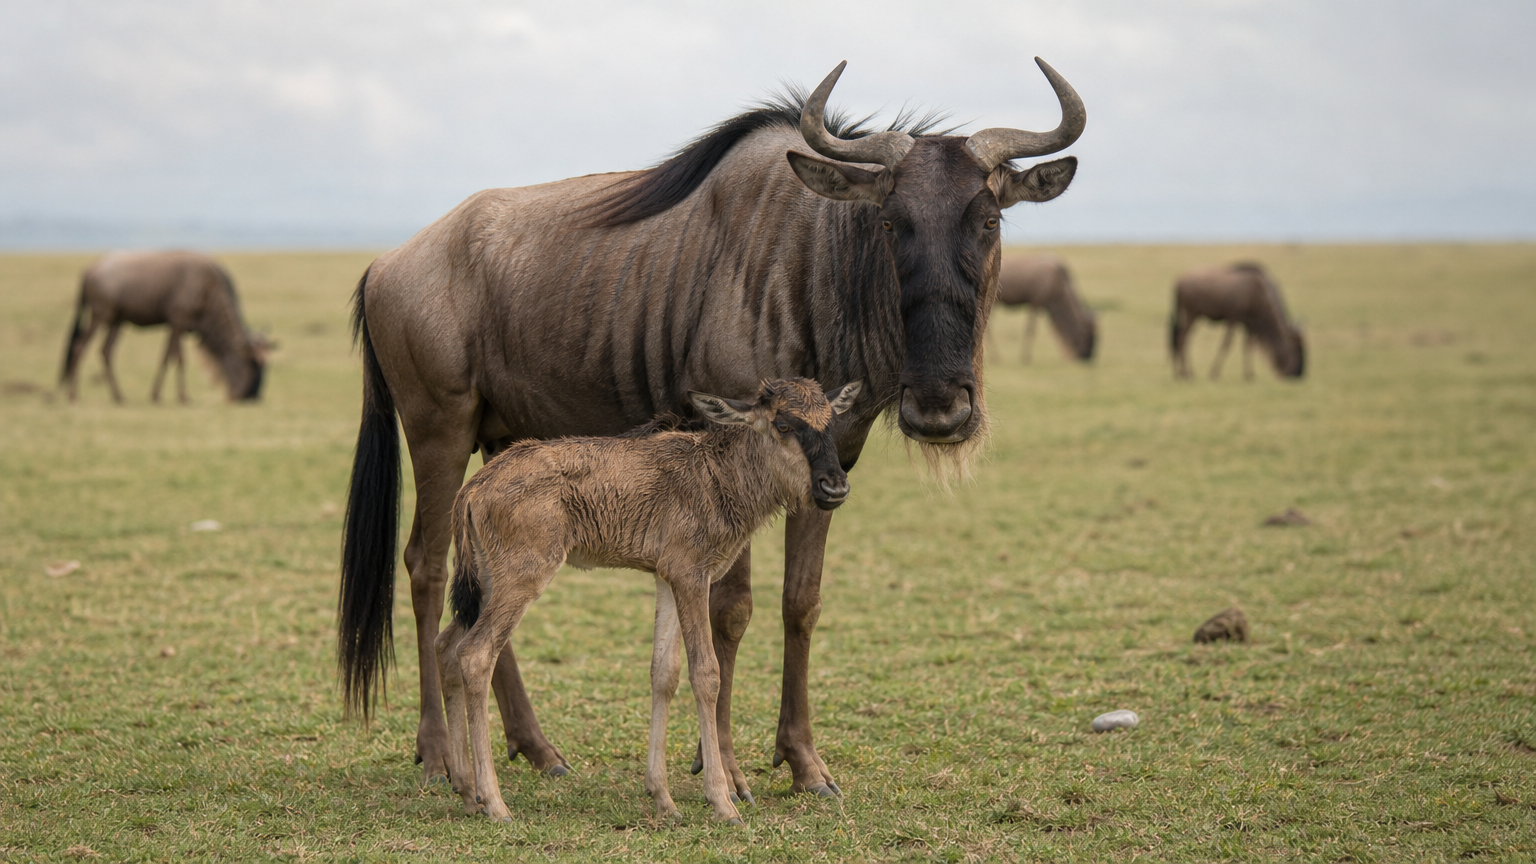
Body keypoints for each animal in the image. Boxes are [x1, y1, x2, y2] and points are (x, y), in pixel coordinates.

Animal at [437, 378, 861, 824]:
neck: (716, 473)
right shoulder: (691, 576)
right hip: (522, 579)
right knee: (476, 654)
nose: (835, 486)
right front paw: (723, 800)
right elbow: (707, 674)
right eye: (783, 424)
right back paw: (494, 803)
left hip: (485, 582)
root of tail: (474, 487)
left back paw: (466, 791)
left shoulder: (665, 578)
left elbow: (664, 673)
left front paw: (664, 799)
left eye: (831, 423)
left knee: (446, 646)